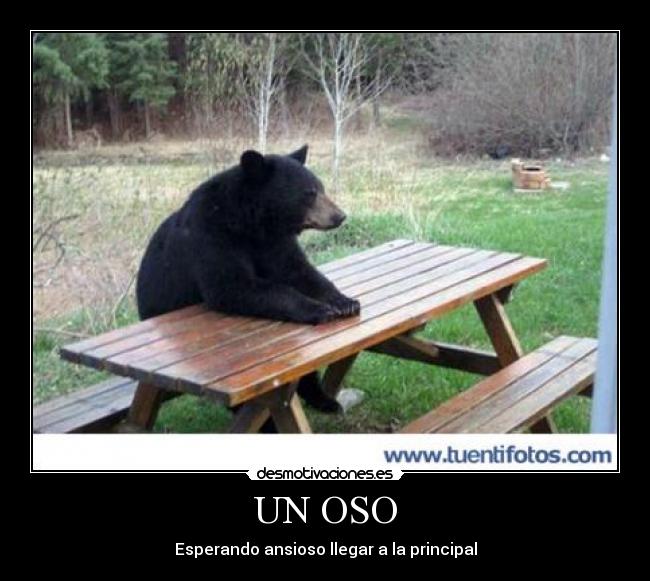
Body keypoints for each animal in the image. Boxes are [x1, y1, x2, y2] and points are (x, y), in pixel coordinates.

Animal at [135, 145, 360, 417]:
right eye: (309, 193)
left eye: (321, 187)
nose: (340, 216)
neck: (252, 223)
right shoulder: (210, 236)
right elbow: (233, 286)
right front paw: (319, 309)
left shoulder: (274, 242)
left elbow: (299, 271)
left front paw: (345, 302)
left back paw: (325, 400)